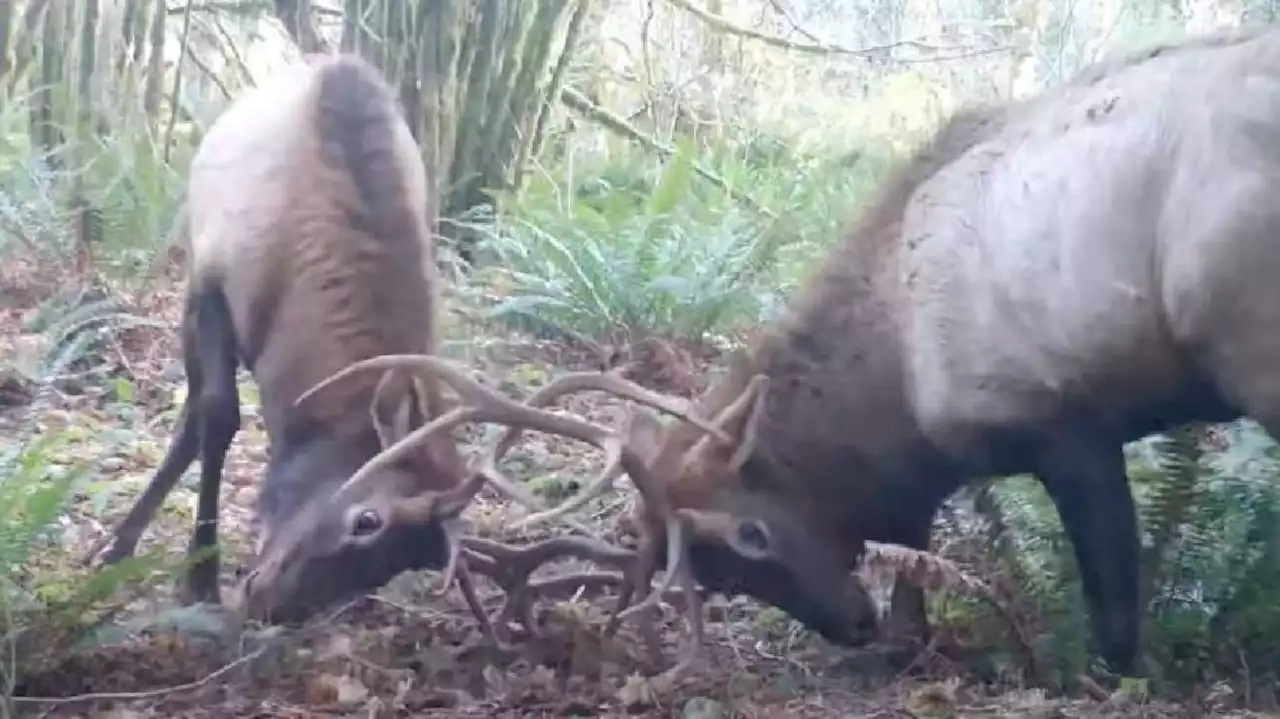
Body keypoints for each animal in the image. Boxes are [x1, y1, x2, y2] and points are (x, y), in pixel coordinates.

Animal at [320, 29, 1280, 675]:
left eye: (750, 533)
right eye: (713, 571)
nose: (849, 624)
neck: (901, 399)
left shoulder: (1066, 420)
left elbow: (1114, 602)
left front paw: (1113, 678)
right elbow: (910, 551)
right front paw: (904, 644)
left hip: (1250, 340)